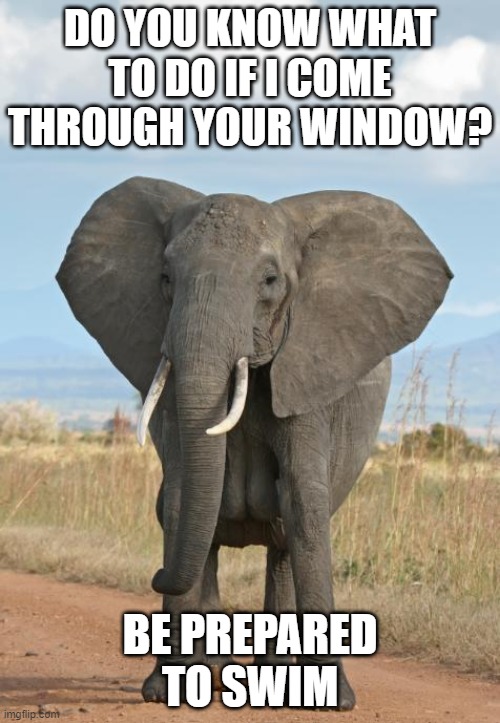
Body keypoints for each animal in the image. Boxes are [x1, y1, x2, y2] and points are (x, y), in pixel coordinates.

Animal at [57, 177, 452, 710]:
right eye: (165, 277)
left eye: (269, 281)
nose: (155, 575)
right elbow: (181, 499)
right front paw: (165, 690)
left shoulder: (309, 368)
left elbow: (304, 502)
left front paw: (336, 699)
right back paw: (211, 672)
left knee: (284, 540)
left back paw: (275, 677)